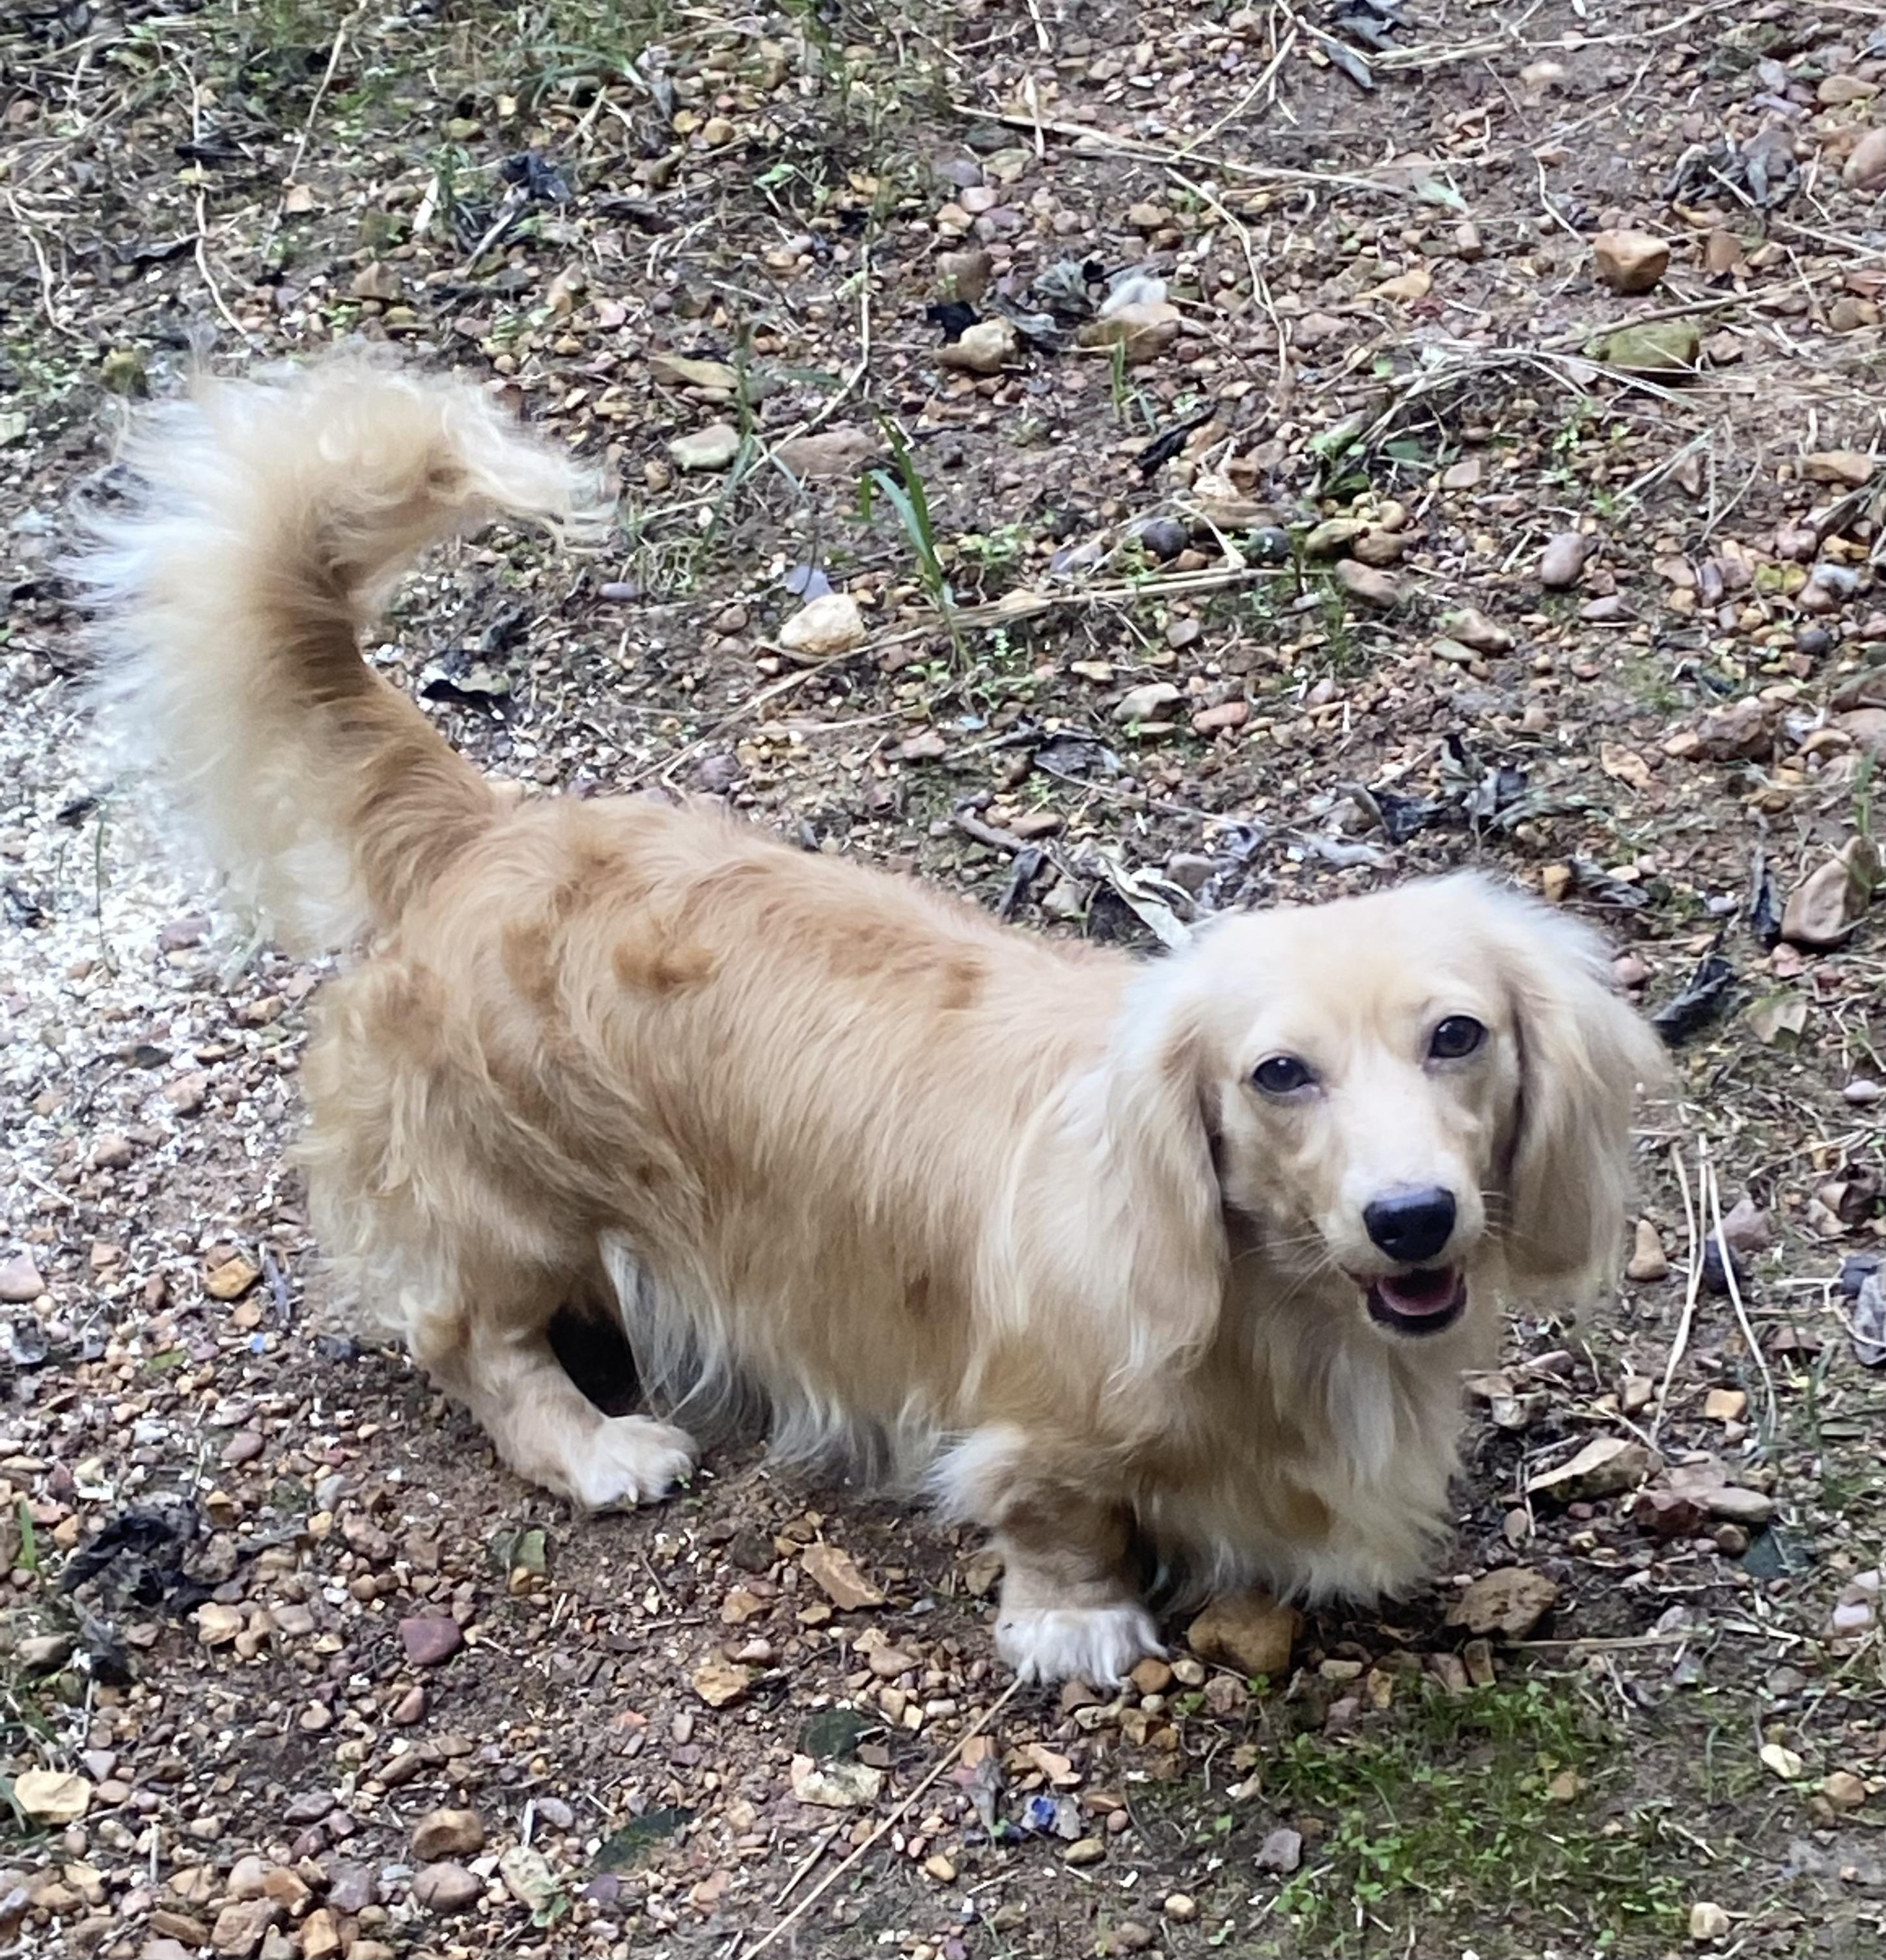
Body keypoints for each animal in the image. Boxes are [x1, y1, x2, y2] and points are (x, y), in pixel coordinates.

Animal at [80, 355, 1666, 1684]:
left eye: (1456, 1036)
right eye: (1278, 1073)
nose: (1411, 1217)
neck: (1283, 1314)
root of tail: (481, 828)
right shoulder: (1029, 1427)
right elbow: (1059, 1518)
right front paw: (1077, 1623)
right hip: (511, 1197)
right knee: (472, 1339)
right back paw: (598, 1449)